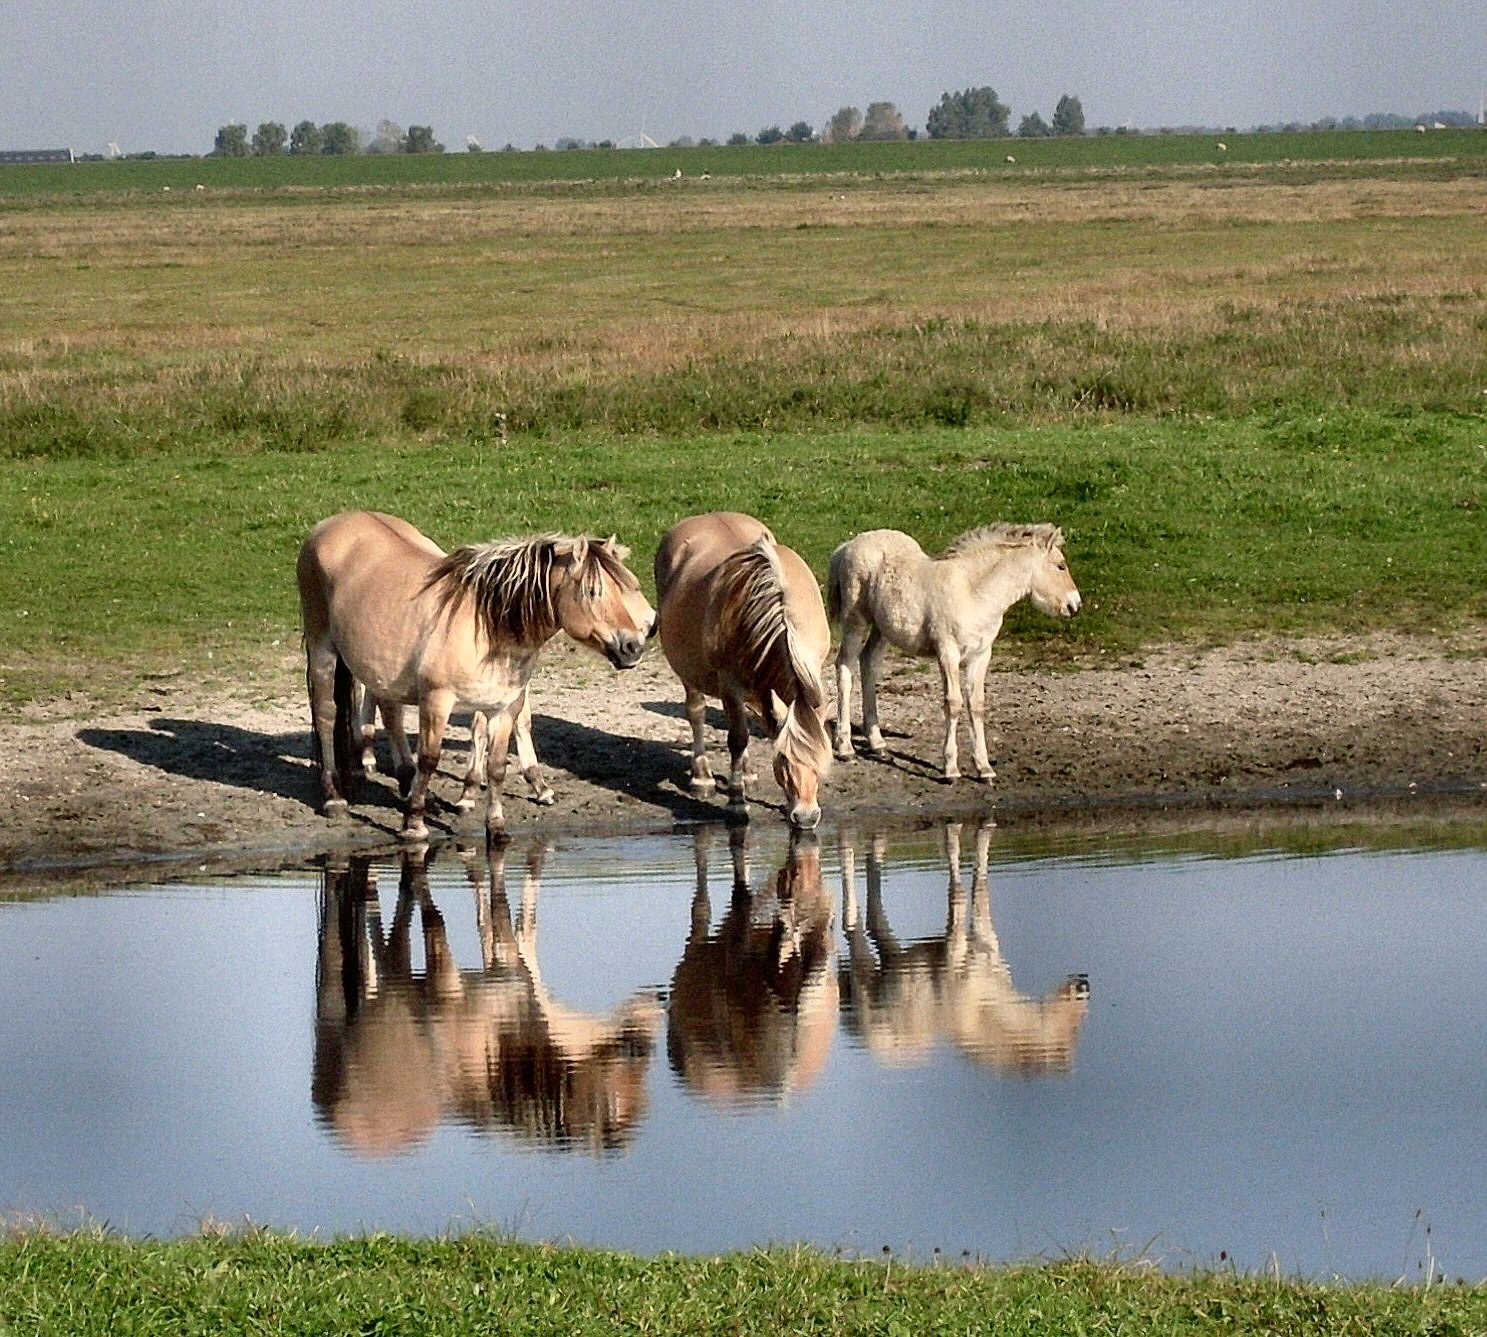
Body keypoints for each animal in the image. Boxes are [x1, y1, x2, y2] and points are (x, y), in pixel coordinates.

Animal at [298, 509, 653, 841]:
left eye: (628, 588)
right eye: (593, 591)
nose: (633, 645)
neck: (485, 624)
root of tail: (329, 525)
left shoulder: (503, 707)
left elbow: (496, 767)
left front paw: (496, 827)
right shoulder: (436, 701)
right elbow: (430, 758)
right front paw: (414, 823)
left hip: (380, 668)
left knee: (391, 714)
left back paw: (404, 781)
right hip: (323, 647)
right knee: (326, 715)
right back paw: (334, 796)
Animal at [654, 511, 833, 829]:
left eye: (822, 760)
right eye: (782, 759)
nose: (806, 816)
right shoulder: (730, 686)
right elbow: (737, 738)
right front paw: (737, 803)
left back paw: (747, 774)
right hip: (690, 674)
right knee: (696, 712)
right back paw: (702, 777)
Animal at [827, 523, 1081, 782]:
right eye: (1061, 566)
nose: (1075, 605)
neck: (972, 592)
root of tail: (848, 546)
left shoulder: (981, 654)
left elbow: (976, 704)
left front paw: (984, 768)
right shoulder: (947, 652)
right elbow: (954, 703)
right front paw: (950, 768)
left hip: (883, 628)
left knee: (868, 663)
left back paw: (877, 743)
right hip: (856, 620)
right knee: (845, 668)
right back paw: (845, 747)